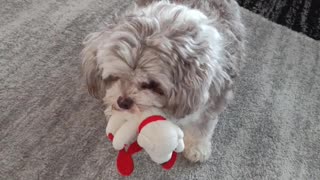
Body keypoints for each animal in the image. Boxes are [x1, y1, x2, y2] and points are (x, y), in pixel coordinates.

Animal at [80, 0, 245, 162]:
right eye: (115, 76)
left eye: (151, 84)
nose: (123, 102)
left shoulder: (212, 98)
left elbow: (201, 128)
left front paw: (197, 147)